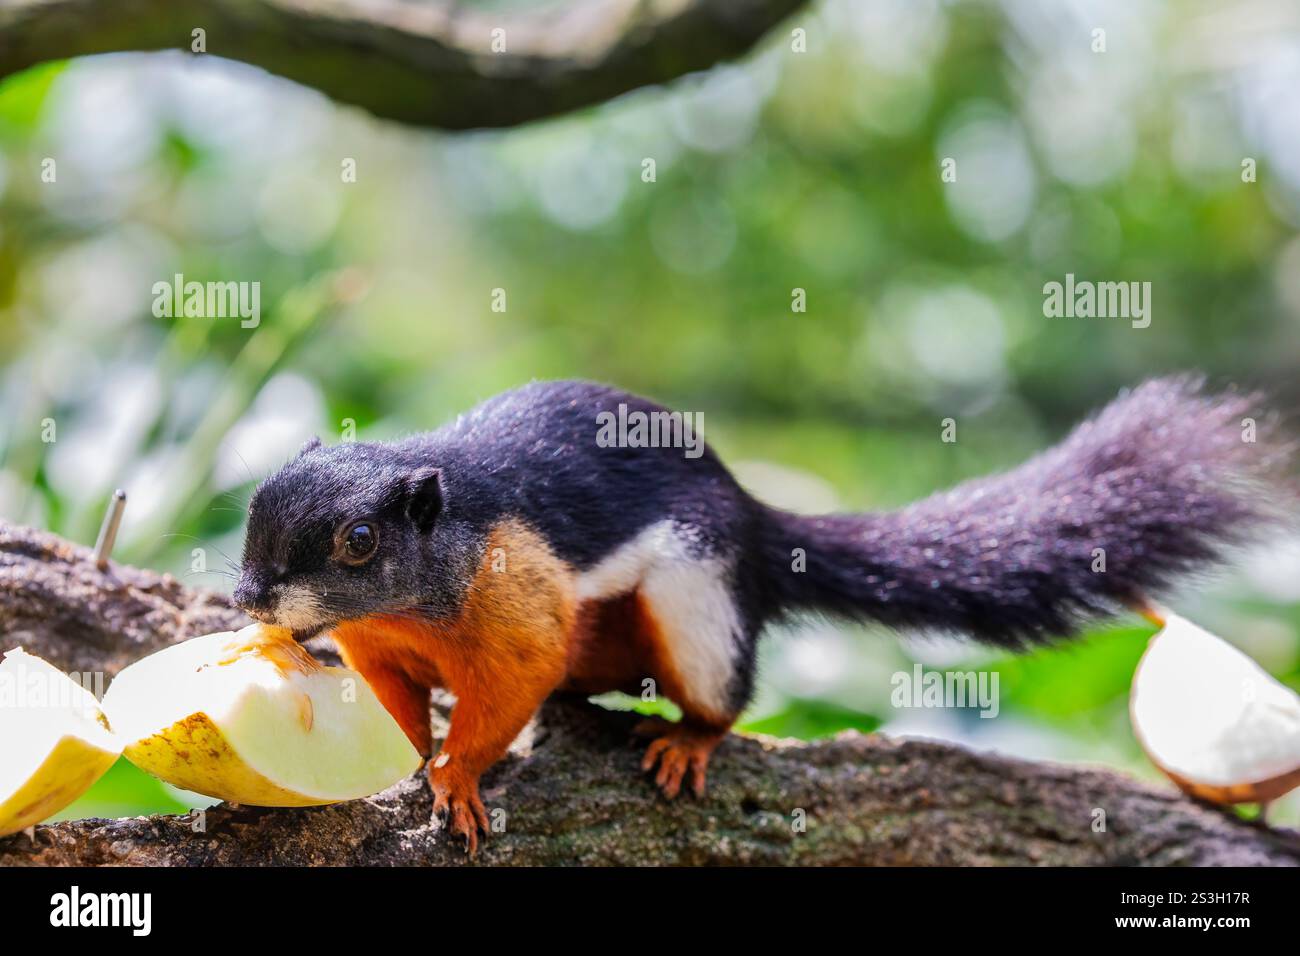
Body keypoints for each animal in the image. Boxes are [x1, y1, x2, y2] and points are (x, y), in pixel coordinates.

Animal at [233, 376, 1292, 852]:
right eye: (250, 505)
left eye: (359, 542)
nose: (248, 598)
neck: (413, 603)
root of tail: (754, 517)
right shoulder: (377, 647)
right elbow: (395, 705)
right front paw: (410, 754)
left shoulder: (518, 593)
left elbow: (513, 681)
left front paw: (456, 775)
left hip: (697, 595)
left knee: (719, 692)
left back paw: (690, 739)